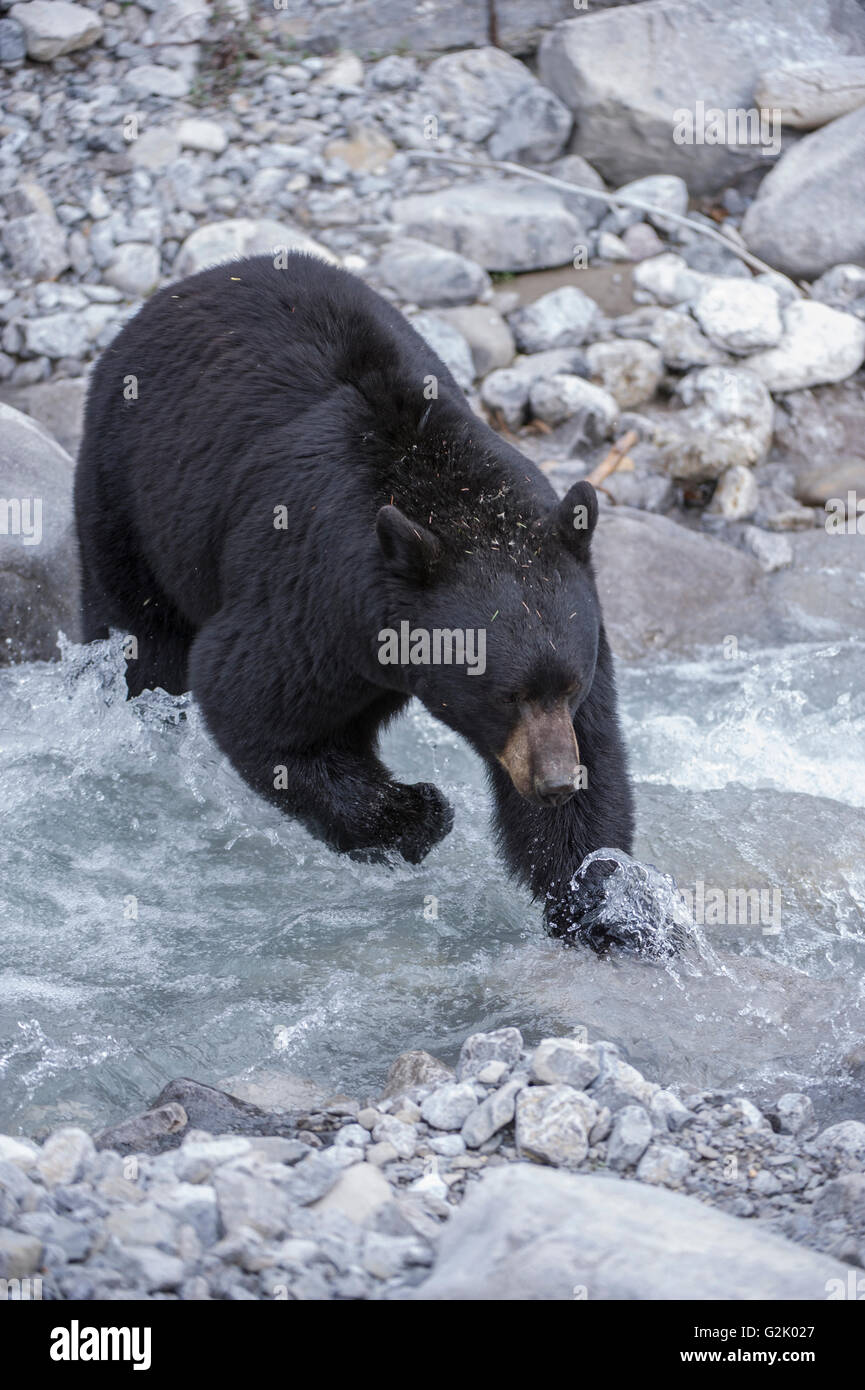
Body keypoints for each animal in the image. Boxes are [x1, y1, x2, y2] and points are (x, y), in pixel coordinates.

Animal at [76, 252, 636, 945]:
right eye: (507, 695)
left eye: (568, 686)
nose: (554, 781)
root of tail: (179, 289)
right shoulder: (308, 595)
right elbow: (254, 704)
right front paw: (417, 815)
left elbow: (596, 763)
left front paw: (603, 907)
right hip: (131, 494)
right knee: (140, 639)